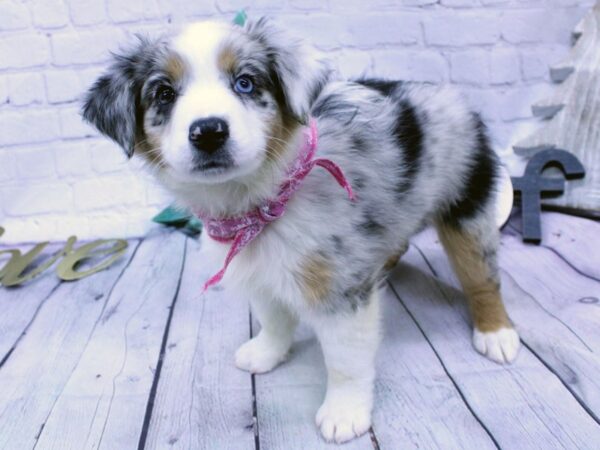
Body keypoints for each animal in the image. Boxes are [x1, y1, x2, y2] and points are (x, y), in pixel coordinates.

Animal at [83, 18, 520, 442]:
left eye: (245, 82)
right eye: (163, 94)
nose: (208, 132)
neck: (261, 202)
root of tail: (446, 92)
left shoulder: (341, 290)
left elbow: (345, 360)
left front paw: (344, 414)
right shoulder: (258, 272)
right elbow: (273, 318)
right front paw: (266, 353)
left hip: (469, 205)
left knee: (482, 278)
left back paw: (496, 332)